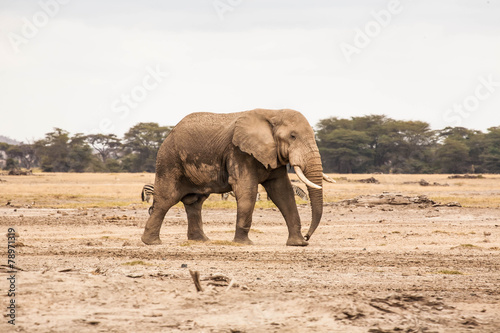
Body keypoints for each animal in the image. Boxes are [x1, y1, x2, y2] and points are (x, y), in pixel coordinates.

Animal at [141, 107, 334, 245]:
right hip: (169, 161)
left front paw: (298, 244)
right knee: (167, 199)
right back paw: (152, 242)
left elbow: (282, 192)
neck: (273, 113)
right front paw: (244, 243)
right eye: (293, 136)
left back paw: (201, 241)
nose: (308, 236)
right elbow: (247, 190)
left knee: (195, 202)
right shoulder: (239, 152)